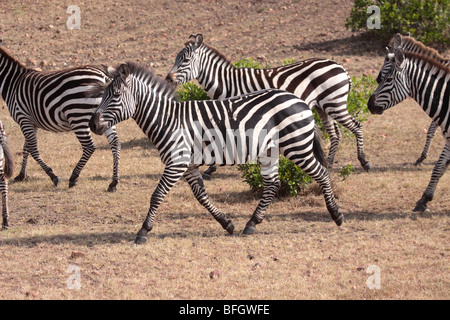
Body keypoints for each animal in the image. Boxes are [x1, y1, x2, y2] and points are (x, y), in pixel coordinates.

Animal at [0, 39, 121, 190]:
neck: (13, 83)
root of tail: (103, 76)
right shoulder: (31, 122)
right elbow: (26, 147)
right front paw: (21, 175)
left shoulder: (23, 118)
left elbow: (33, 149)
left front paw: (53, 176)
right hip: (105, 115)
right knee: (115, 143)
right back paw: (114, 182)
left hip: (78, 116)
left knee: (89, 147)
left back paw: (74, 177)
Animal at [89, 61, 342, 244]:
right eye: (103, 94)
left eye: (115, 95)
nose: (92, 124)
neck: (169, 120)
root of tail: (298, 99)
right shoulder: (188, 165)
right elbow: (201, 196)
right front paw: (226, 223)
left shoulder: (176, 162)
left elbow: (157, 195)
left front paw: (143, 231)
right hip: (269, 151)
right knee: (272, 184)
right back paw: (251, 223)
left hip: (296, 146)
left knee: (321, 173)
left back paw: (336, 214)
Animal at [167, 33, 370, 179]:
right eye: (176, 59)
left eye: (185, 60)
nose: (168, 79)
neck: (229, 84)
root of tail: (340, 67)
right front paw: (212, 168)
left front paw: (212, 168)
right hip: (323, 107)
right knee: (336, 134)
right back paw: (329, 162)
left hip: (335, 103)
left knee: (356, 126)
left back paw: (364, 161)